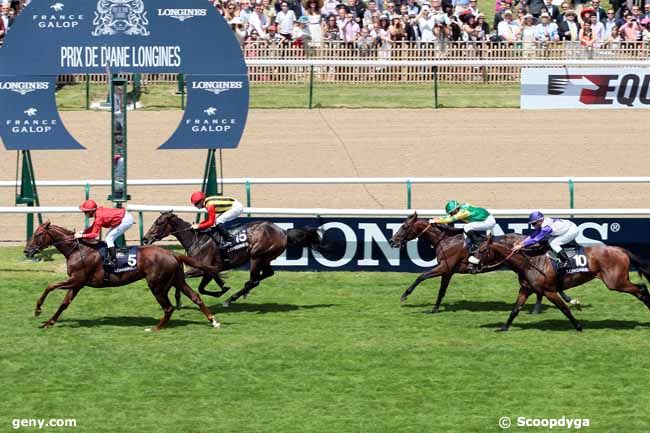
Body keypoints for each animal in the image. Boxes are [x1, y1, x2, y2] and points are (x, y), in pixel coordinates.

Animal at [24, 221, 221, 330]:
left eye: (38, 234)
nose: (27, 251)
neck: (78, 250)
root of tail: (173, 253)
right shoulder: (77, 284)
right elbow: (64, 304)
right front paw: (49, 323)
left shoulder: (76, 280)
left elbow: (49, 286)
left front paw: (38, 310)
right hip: (177, 280)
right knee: (196, 297)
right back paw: (213, 321)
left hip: (157, 285)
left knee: (168, 307)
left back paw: (155, 328)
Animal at [142, 213, 324, 308]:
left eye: (159, 223)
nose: (145, 238)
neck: (197, 239)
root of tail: (283, 232)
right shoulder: (208, 269)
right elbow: (203, 286)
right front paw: (221, 288)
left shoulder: (201, 268)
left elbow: (186, 280)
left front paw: (179, 300)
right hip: (265, 258)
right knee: (265, 275)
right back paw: (242, 291)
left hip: (257, 256)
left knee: (254, 280)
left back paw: (230, 300)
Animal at [476, 233, 648, 330]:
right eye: (475, 248)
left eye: (482, 250)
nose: (472, 266)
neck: (531, 261)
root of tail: (620, 249)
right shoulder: (525, 289)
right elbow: (515, 309)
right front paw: (504, 327)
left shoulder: (549, 291)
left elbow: (564, 309)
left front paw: (578, 326)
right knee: (641, 290)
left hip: (615, 282)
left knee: (641, 289)